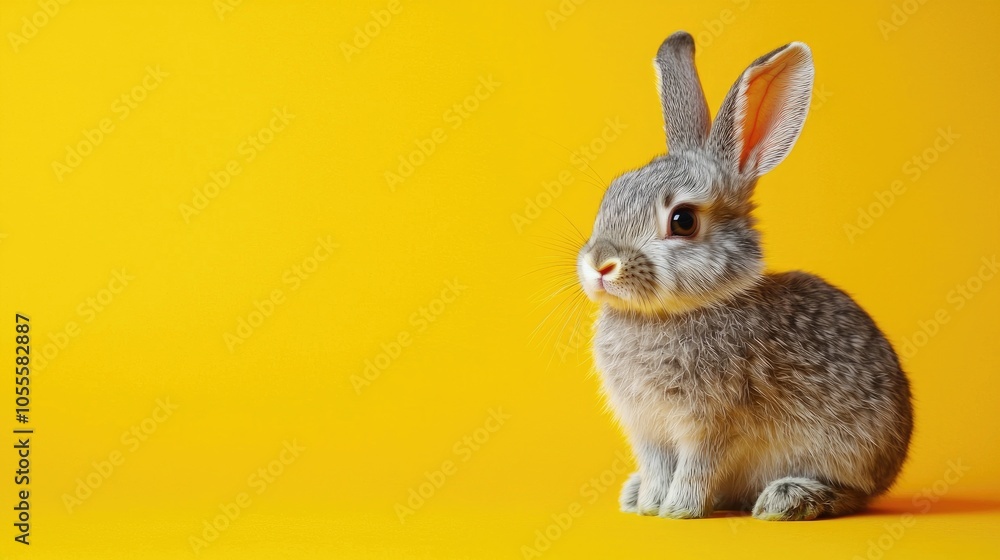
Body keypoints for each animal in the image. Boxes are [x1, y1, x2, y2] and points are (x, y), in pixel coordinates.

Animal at [575, 31, 913, 520]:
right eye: (611, 195)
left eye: (682, 221)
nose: (600, 263)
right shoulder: (648, 430)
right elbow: (658, 467)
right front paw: (650, 505)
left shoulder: (714, 422)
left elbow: (697, 467)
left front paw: (679, 510)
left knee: (852, 494)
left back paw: (787, 498)